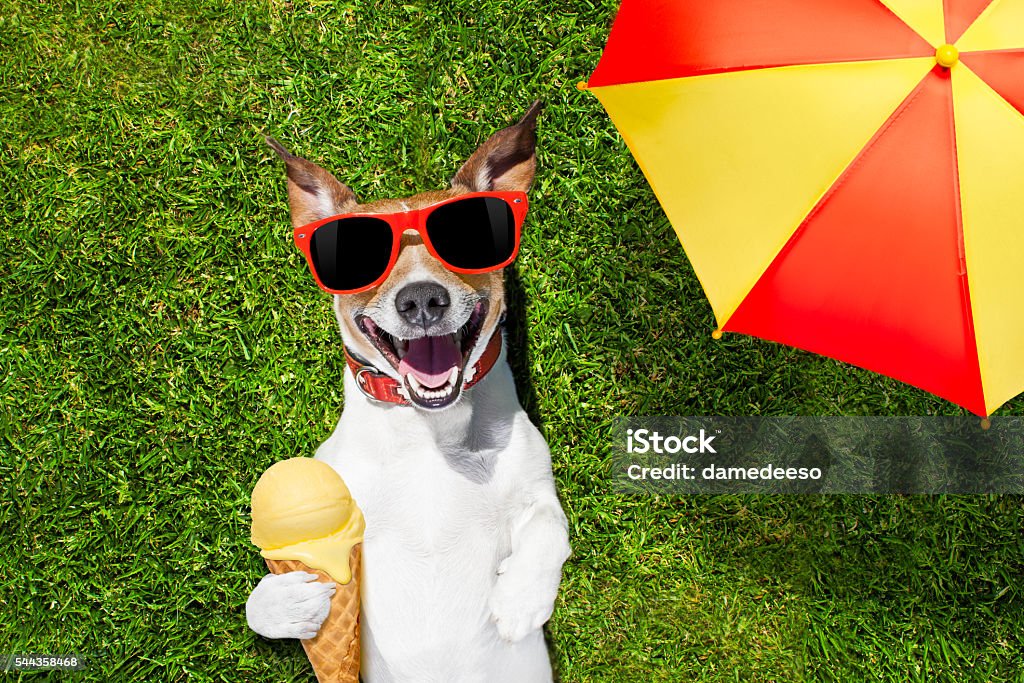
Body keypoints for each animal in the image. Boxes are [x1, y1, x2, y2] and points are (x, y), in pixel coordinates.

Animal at [243, 102, 573, 683]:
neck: (429, 431)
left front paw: (519, 601)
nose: (421, 299)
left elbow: (551, 530)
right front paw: (287, 600)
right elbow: (256, 605)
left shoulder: (536, 487)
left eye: (466, 241)